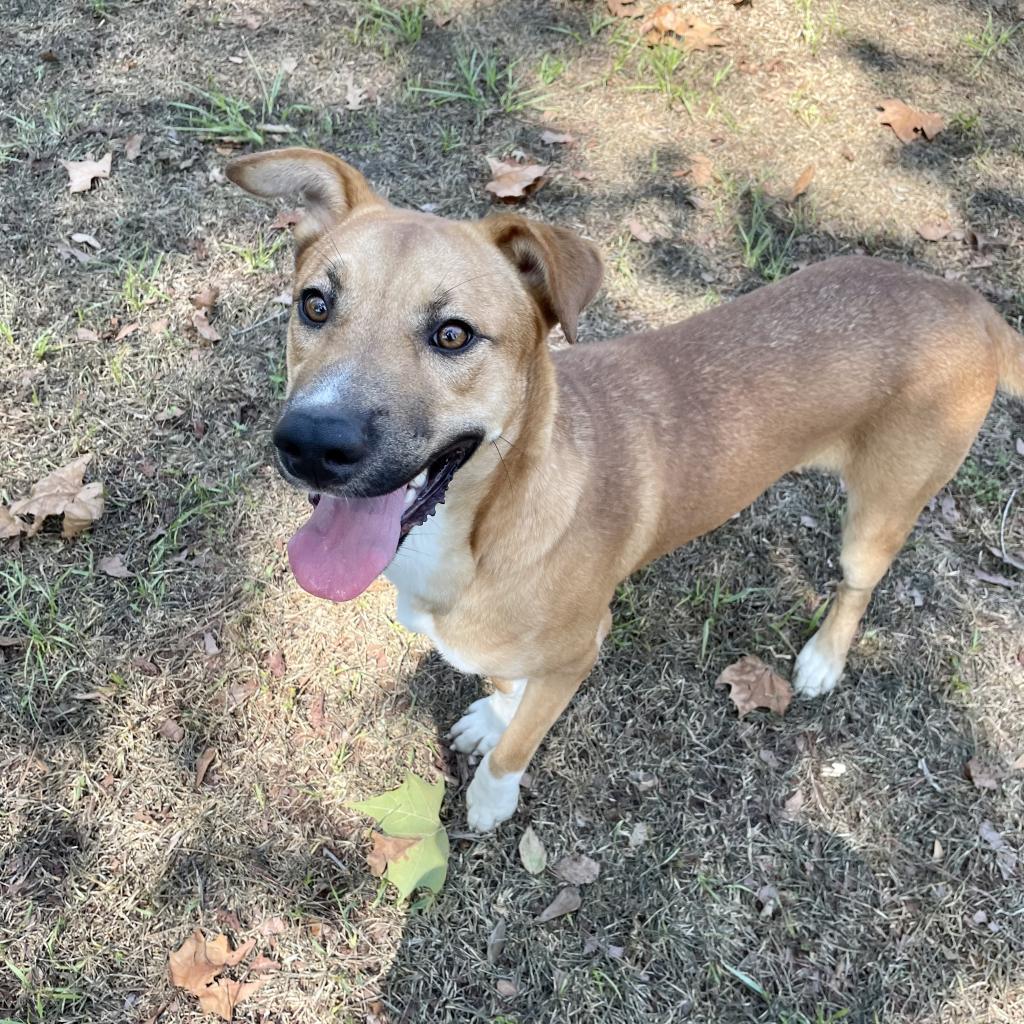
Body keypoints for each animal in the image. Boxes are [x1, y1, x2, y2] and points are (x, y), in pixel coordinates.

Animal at [226, 146, 1024, 831]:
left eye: (453, 335)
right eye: (315, 305)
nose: (310, 444)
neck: (487, 523)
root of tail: (969, 302)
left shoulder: (580, 652)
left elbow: (522, 741)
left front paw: (493, 794)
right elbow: (504, 684)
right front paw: (492, 714)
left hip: (883, 510)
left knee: (859, 582)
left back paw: (825, 658)